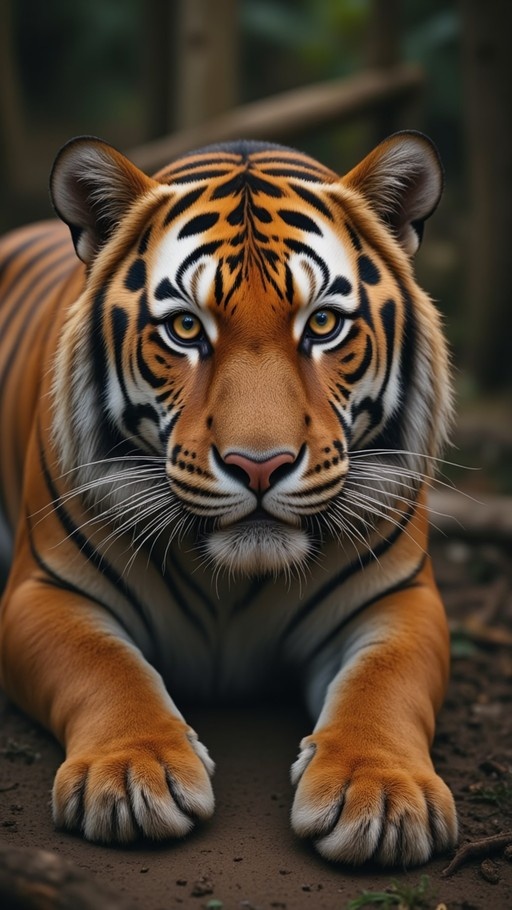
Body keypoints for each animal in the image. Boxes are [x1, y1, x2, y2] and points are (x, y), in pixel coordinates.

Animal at [0, 131, 458, 866]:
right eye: (186, 330)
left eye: (322, 323)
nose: (259, 465)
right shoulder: (43, 592)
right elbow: (104, 665)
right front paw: (133, 772)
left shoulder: (400, 598)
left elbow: (384, 682)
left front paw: (381, 794)